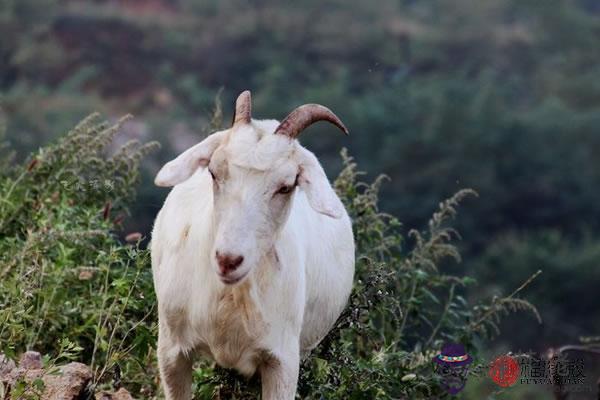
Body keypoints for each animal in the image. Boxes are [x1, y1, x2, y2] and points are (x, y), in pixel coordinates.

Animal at [152, 91, 354, 400]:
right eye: (213, 172)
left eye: (286, 186)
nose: (228, 260)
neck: (230, 299)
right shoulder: (171, 351)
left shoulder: (282, 361)